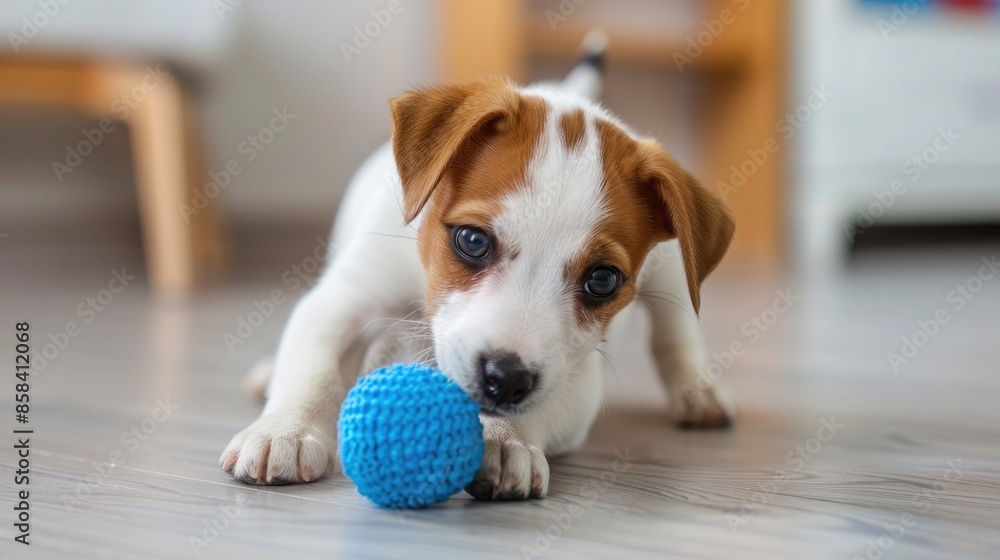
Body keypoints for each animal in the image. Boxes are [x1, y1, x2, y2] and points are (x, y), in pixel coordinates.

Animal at [221, 36, 736, 498]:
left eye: (603, 280)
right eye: (472, 241)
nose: (506, 380)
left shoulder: (576, 378)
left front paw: (506, 440)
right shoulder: (345, 299)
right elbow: (315, 368)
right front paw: (285, 431)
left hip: (672, 272)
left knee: (675, 330)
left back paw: (697, 391)